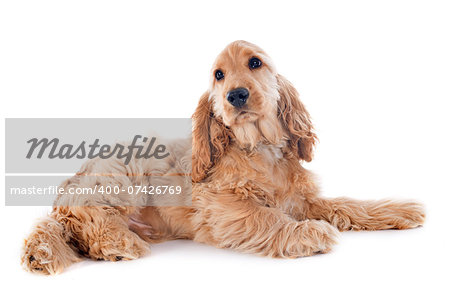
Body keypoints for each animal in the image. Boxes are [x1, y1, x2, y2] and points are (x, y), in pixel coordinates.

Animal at [21, 40, 426, 272]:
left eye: (255, 63)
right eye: (218, 75)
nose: (236, 95)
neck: (260, 149)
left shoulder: (302, 200)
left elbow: (347, 204)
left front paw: (399, 210)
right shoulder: (222, 209)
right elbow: (265, 217)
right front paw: (307, 232)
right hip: (121, 171)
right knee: (85, 216)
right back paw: (116, 244)